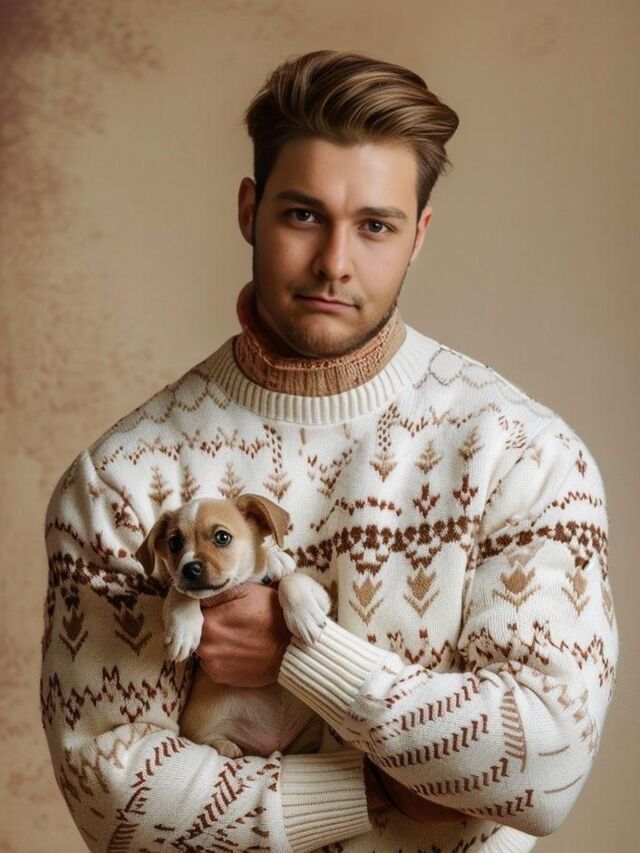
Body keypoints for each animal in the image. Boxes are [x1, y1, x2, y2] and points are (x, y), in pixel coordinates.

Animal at [135, 493, 331, 758]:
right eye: (174, 543)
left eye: (222, 537)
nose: (190, 569)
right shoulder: (180, 588)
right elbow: (180, 593)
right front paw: (183, 630)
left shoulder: (321, 596)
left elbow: (292, 579)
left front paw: (304, 612)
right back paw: (226, 746)